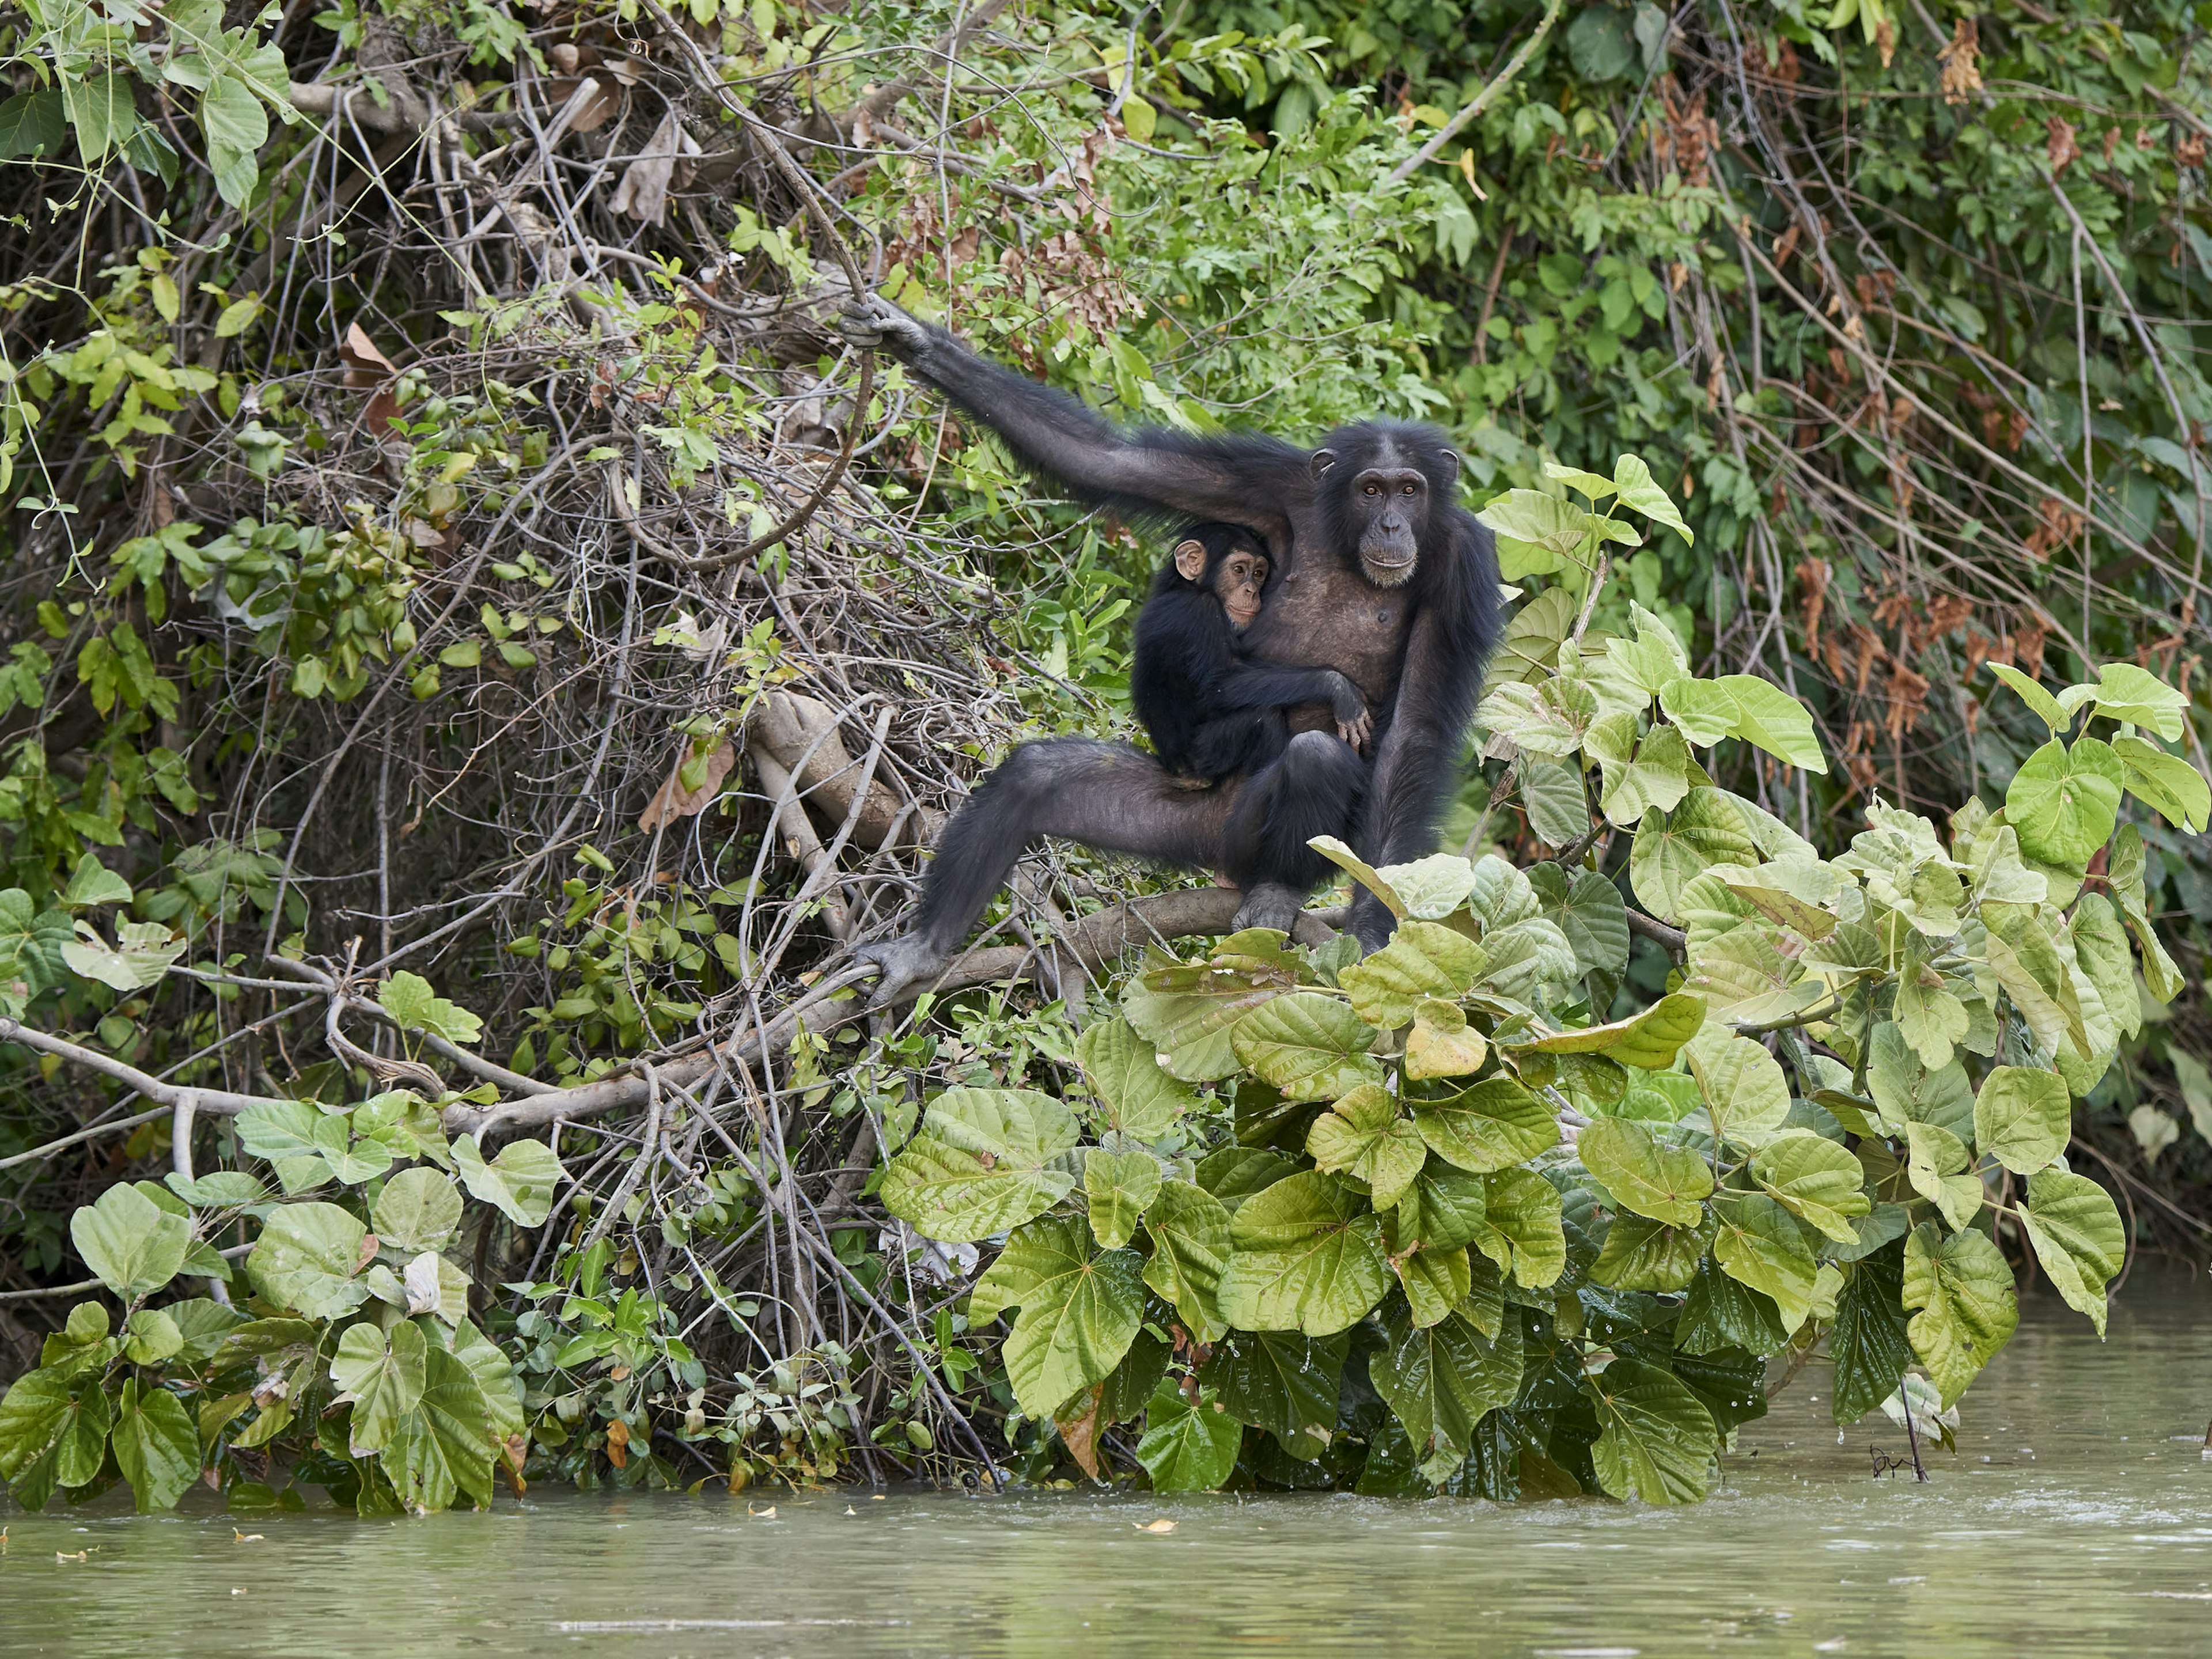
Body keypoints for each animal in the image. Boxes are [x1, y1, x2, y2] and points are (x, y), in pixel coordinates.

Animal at [1132, 522, 1371, 787]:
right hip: (1205, 758)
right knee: (1262, 719)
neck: (1189, 587)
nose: (1251, 591)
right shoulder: (1198, 611)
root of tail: (1180, 775)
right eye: (1238, 570)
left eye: (1258, 574)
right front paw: (1337, 687)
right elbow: (1221, 684)